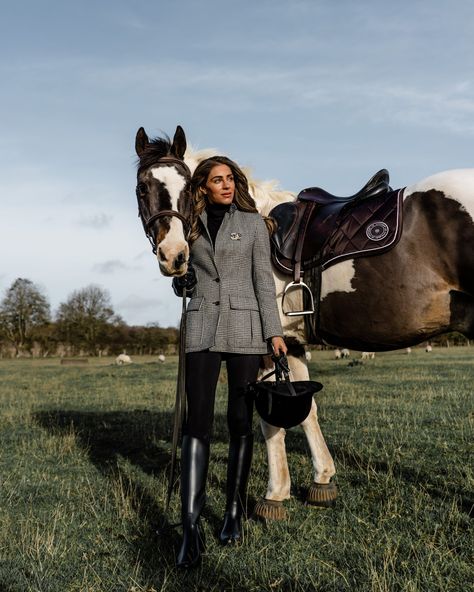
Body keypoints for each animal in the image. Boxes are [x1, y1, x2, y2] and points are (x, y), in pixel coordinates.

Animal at [133, 123, 474, 520]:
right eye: (143, 188)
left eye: (188, 188)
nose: (174, 256)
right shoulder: (291, 344)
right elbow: (305, 407)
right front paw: (322, 480)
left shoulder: (264, 344)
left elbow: (270, 422)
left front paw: (275, 495)